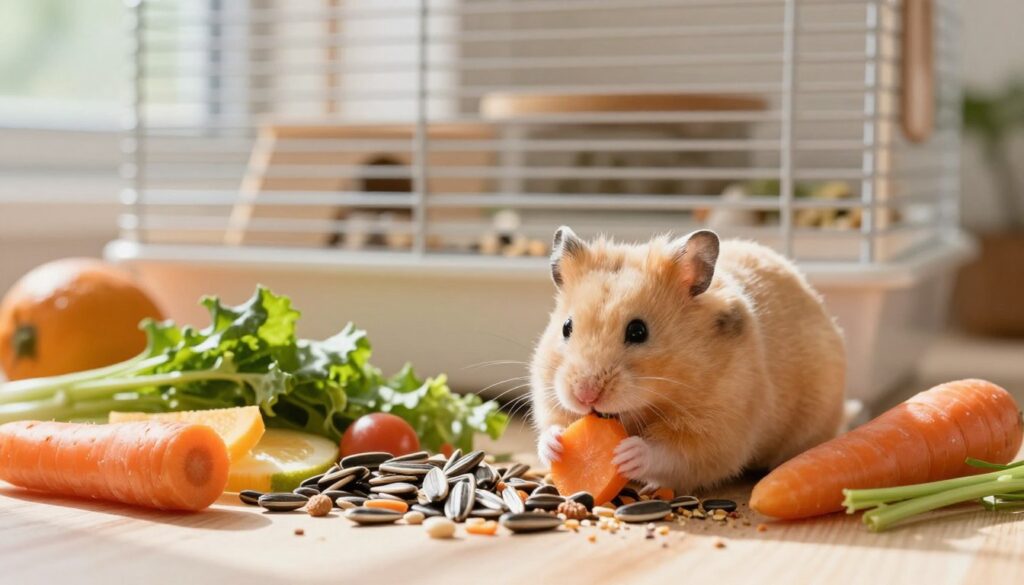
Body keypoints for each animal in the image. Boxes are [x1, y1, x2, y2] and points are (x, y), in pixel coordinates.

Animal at [530, 226, 846, 493]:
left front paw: (629, 454)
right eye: (566, 327)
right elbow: (552, 423)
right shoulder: (549, 393)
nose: (585, 395)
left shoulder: (718, 429)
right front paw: (555, 444)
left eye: (638, 331)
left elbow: (673, 453)